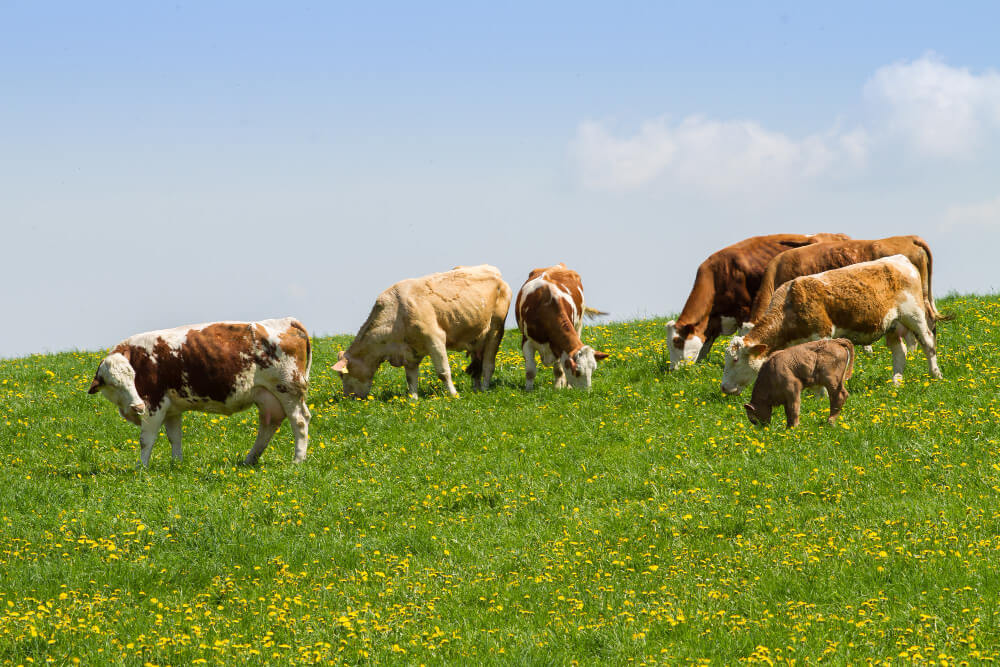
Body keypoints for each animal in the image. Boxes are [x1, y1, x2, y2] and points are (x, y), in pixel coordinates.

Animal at [89, 320, 312, 468]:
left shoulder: (154, 405)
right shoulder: (171, 409)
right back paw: (249, 460)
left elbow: (146, 439)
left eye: (132, 376)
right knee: (268, 426)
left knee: (300, 421)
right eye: (113, 384)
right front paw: (177, 464)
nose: (137, 406)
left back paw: (297, 461)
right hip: (268, 397)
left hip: (288, 390)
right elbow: (174, 437)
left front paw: (141, 469)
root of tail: (288, 321)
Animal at [334, 264, 512, 402]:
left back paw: (485, 389)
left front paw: (454, 395)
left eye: (342, 375)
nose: (347, 399)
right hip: (476, 335)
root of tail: (494, 271)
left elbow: (443, 372)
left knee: (488, 364)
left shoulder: (435, 339)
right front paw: (412, 399)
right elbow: (411, 377)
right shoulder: (409, 351)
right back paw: (476, 389)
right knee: (477, 367)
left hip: (495, 329)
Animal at [516, 264, 608, 392]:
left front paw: (557, 388)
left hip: (578, 325)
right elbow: (530, 371)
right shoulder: (527, 341)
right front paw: (529, 390)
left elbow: (559, 370)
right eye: (577, 372)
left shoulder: (559, 346)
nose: (587, 393)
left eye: (593, 370)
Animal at [668, 234, 848, 370]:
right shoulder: (713, 320)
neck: (719, 273)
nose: (674, 370)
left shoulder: (743, 310)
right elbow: (705, 346)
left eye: (678, 342)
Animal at [720, 253, 944, 394]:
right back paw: (896, 383)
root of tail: (900, 259)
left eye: (735, 360)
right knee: (900, 352)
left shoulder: (822, 334)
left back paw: (935, 375)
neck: (789, 305)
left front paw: (822, 395)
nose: (723, 387)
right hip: (892, 324)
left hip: (914, 314)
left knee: (928, 343)